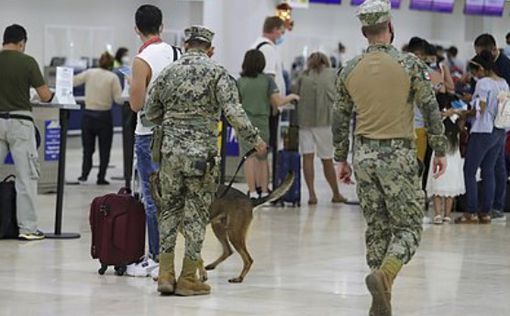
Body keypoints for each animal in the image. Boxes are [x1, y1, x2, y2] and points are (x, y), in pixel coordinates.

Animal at [150, 173, 294, 284]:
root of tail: (249, 200)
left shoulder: (191, 233)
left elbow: (197, 257)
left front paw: (201, 275)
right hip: (219, 228)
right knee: (228, 250)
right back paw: (213, 265)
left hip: (234, 233)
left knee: (248, 259)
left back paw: (239, 278)